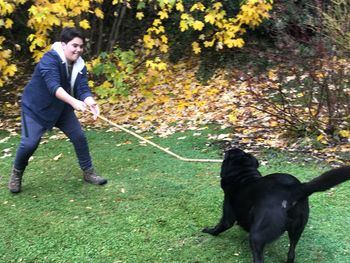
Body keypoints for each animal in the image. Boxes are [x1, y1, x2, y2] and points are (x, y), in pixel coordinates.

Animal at [202, 150, 350, 262]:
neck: (244, 177)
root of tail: (296, 189)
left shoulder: (228, 215)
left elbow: (219, 227)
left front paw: (208, 231)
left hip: (257, 236)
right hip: (298, 229)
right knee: (291, 253)